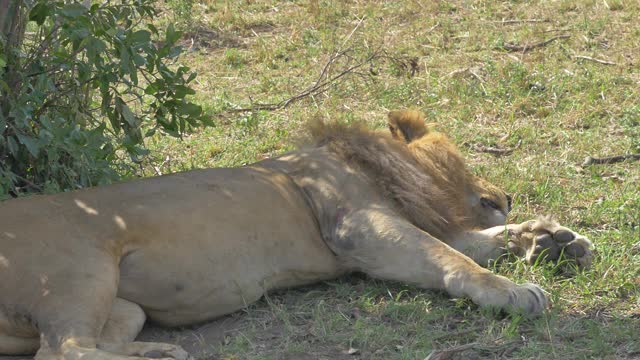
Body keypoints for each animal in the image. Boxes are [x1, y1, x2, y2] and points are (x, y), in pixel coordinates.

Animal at [0, 111, 592, 358]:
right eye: (463, 161)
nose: (505, 195)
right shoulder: (360, 230)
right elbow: (455, 258)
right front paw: (514, 291)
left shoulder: (385, 232)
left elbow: (470, 243)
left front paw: (551, 239)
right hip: (80, 272)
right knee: (62, 352)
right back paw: (164, 358)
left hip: (124, 308)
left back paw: (156, 354)